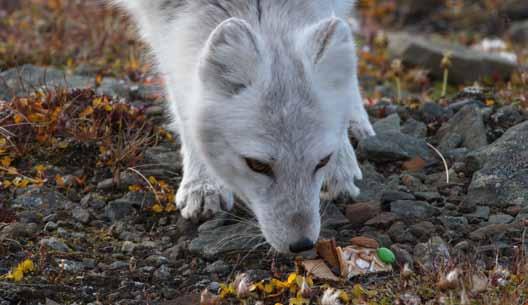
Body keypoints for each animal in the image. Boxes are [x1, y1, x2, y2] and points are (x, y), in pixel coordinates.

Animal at [111, 0, 376, 252]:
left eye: (322, 161)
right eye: (257, 165)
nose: (302, 245)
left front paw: (339, 163)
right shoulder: (159, 24)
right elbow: (183, 98)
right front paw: (203, 183)